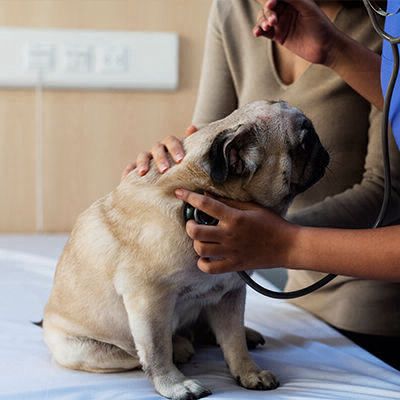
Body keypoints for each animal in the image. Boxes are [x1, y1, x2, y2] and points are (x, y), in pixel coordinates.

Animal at [42, 101, 330, 400]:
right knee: (137, 354)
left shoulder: (230, 293)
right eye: (305, 142)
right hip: (85, 350)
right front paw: (175, 384)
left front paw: (249, 372)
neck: (202, 192)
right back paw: (180, 346)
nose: (324, 148)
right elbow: (157, 350)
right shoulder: (149, 299)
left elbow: (234, 341)